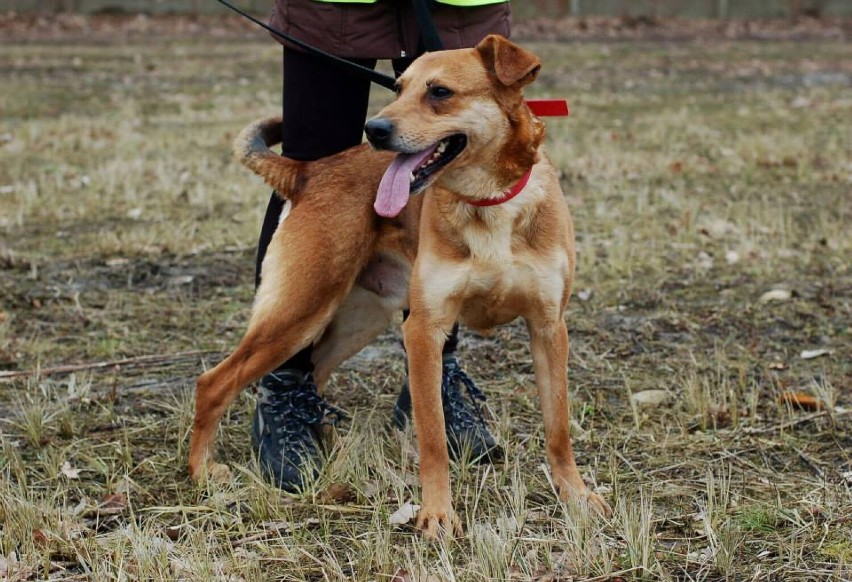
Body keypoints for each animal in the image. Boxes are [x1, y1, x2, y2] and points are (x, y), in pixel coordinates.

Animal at [190, 35, 608, 540]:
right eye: (399, 88)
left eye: (440, 92)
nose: (374, 129)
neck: (488, 201)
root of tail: (309, 171)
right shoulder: (423, 331)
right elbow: (432, 437)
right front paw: (437, 515)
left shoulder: (548, 328)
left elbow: (558, 428)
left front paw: (576, 494)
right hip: (299, 309)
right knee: (214, 383)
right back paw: (203, 474)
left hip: (356, 320)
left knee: (316, 371)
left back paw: (325, 444)